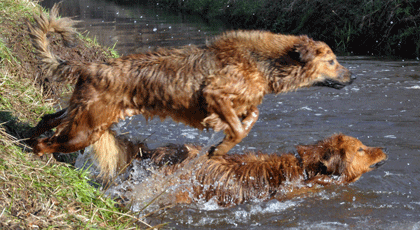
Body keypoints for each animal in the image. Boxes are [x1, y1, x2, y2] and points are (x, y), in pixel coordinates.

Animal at [27, 4, 354, 178]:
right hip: (86, 130)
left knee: (47, 120)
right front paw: (220, 147)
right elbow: (238, 126)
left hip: (81, 114)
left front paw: (223, 142)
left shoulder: (243, 101)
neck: (262, 62)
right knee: (46, 143)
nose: (351, 78)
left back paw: (30, 135)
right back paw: (40, 158)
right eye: (332, 61)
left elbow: (251, 116)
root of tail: (90, 66)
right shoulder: (214, 94)